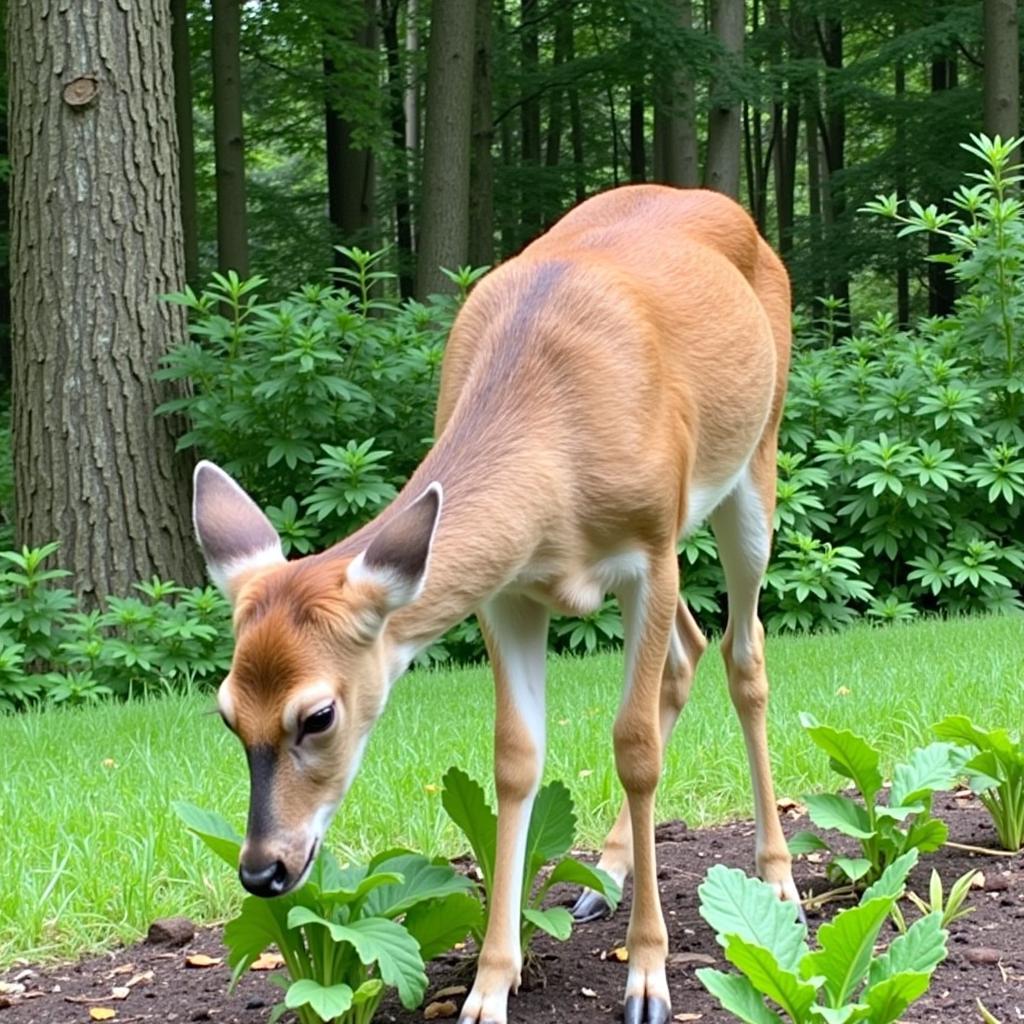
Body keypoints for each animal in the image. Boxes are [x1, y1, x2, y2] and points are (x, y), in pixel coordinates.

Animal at [192, 186, 798, 1024]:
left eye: (317, 715)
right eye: (225, 713)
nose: (263, 870)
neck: (559, 469)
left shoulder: (649, 550)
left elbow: (634, 747)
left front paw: (648, 977)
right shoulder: (508, 591)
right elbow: (515, 759)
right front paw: (488, 986)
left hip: (751, 462)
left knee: (745, 655)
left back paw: (778, 877)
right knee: (691, 648)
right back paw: (605, 876)